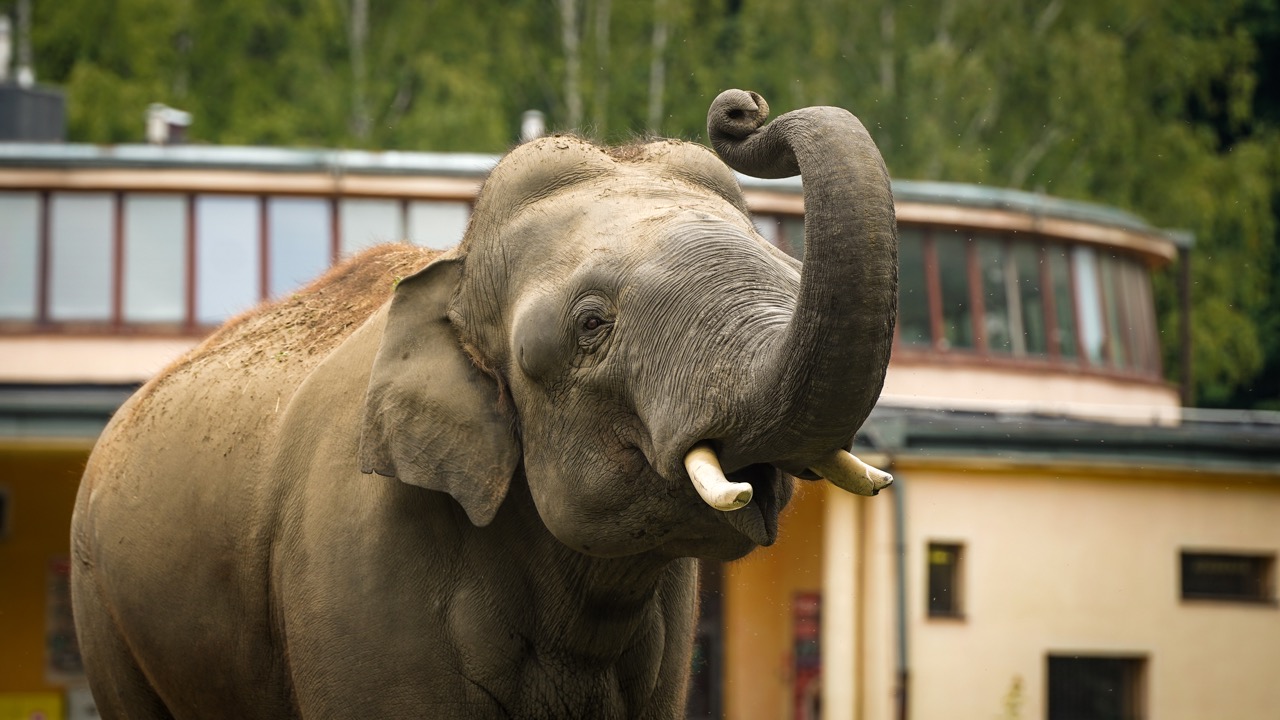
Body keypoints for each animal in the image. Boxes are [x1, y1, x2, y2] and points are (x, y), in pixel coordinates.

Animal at [67, 90, 890, 717]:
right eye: (592, 324)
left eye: (788, 269)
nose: (741, 109)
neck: (457, 270)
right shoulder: (356, 563)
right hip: (102, 605)